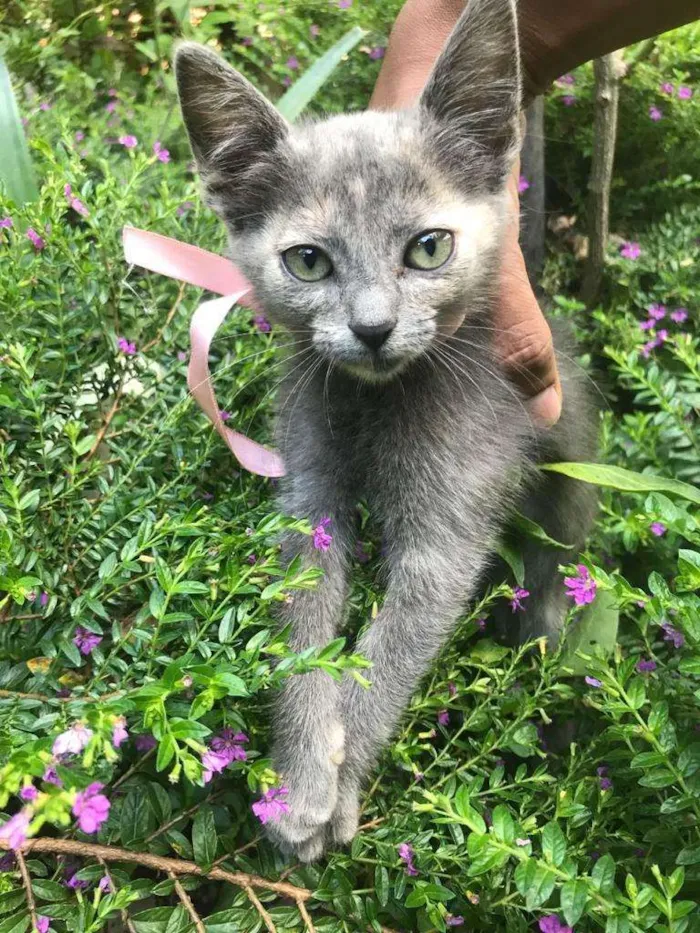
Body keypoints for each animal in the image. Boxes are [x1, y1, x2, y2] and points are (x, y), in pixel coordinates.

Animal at [174, 0, 596, 860]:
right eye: (308, 262)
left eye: (428, 248)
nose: (372, 328)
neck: (377, 406)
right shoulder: (307, 494)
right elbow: (301, 623)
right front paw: (301, 775)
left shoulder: (449, 528)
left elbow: (389, 650)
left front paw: (332, 788)